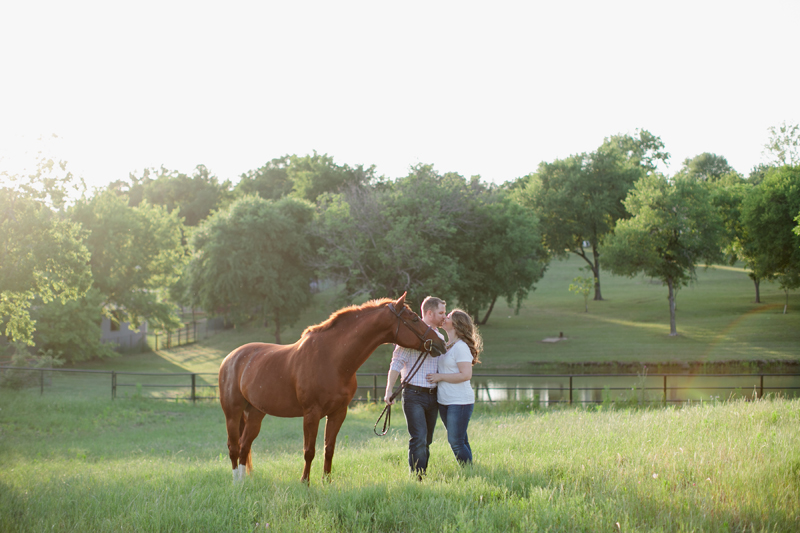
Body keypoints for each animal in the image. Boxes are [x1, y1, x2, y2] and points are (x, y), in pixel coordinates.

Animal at [217, 290, 444, 482]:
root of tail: (230, 358)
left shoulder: (338, 412)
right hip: (232, 413)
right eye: (413, 318)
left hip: (255, 413)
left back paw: (244, 481)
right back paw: (236, 483)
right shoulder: (311, 413)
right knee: (234, 446)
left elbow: (329, 448)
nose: (440, 343)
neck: (332, 358)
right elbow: (309, 451)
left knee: (245, 446)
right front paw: (305, 482)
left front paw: (326, 481)